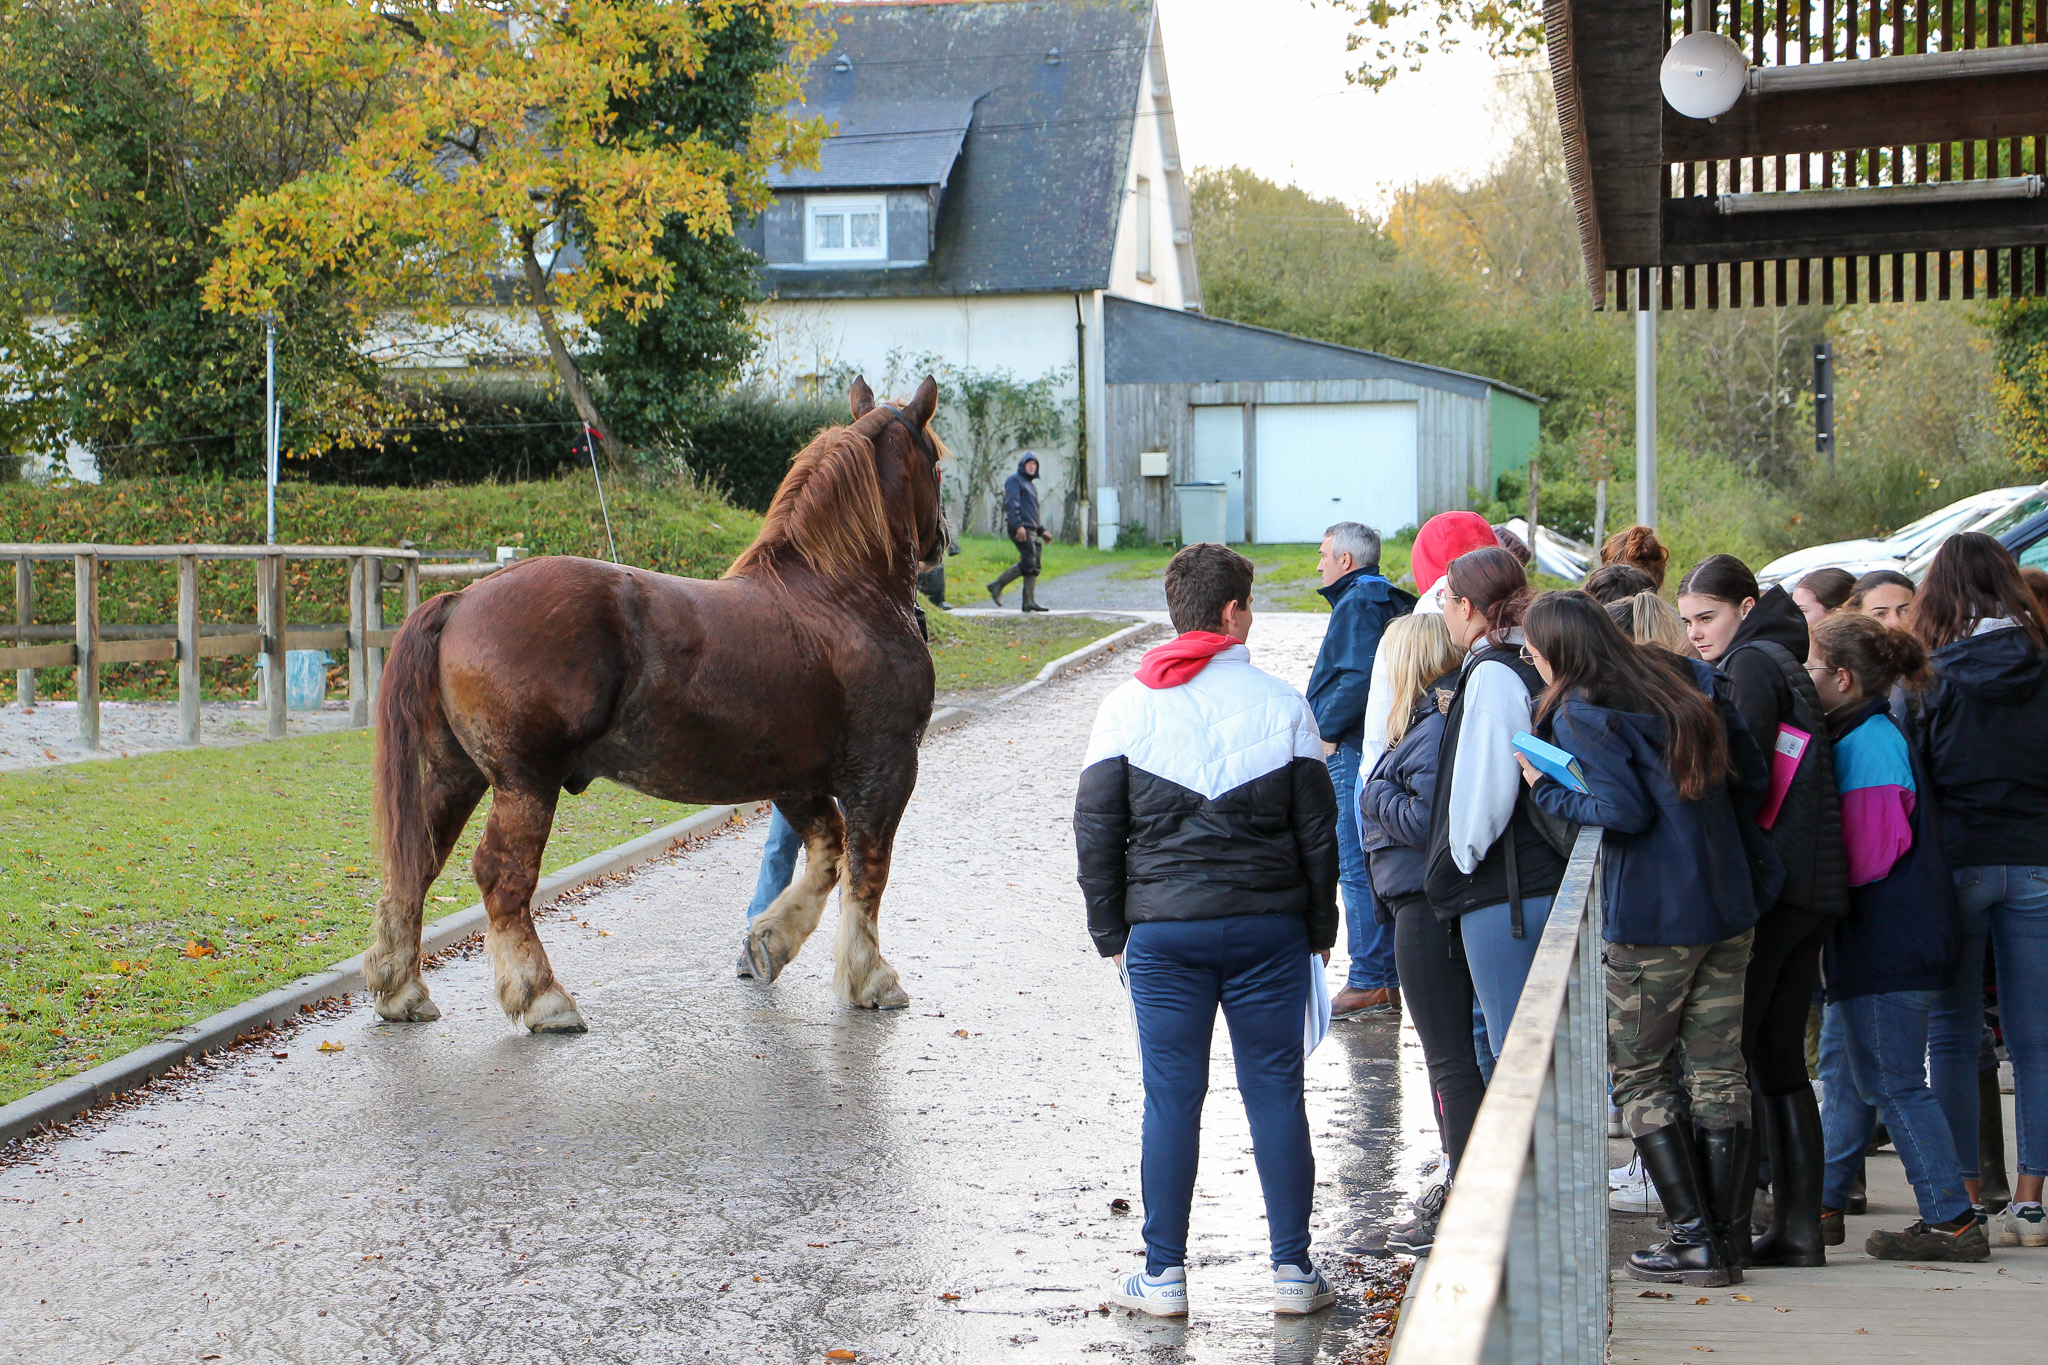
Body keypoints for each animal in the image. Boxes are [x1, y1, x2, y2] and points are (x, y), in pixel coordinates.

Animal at [362, 378, 950, 1031]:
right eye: (937, 462)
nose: (942, 541)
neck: (842, 596)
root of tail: (462, 599)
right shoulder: (885, 770)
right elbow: (866, 871)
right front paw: (870, 977)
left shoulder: (795, 779)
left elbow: (828, 855)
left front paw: (770, 940)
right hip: (524, 782)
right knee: (501, 877)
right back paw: (542, 995)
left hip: (455, 773)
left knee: (415, 863)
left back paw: (401, 988)